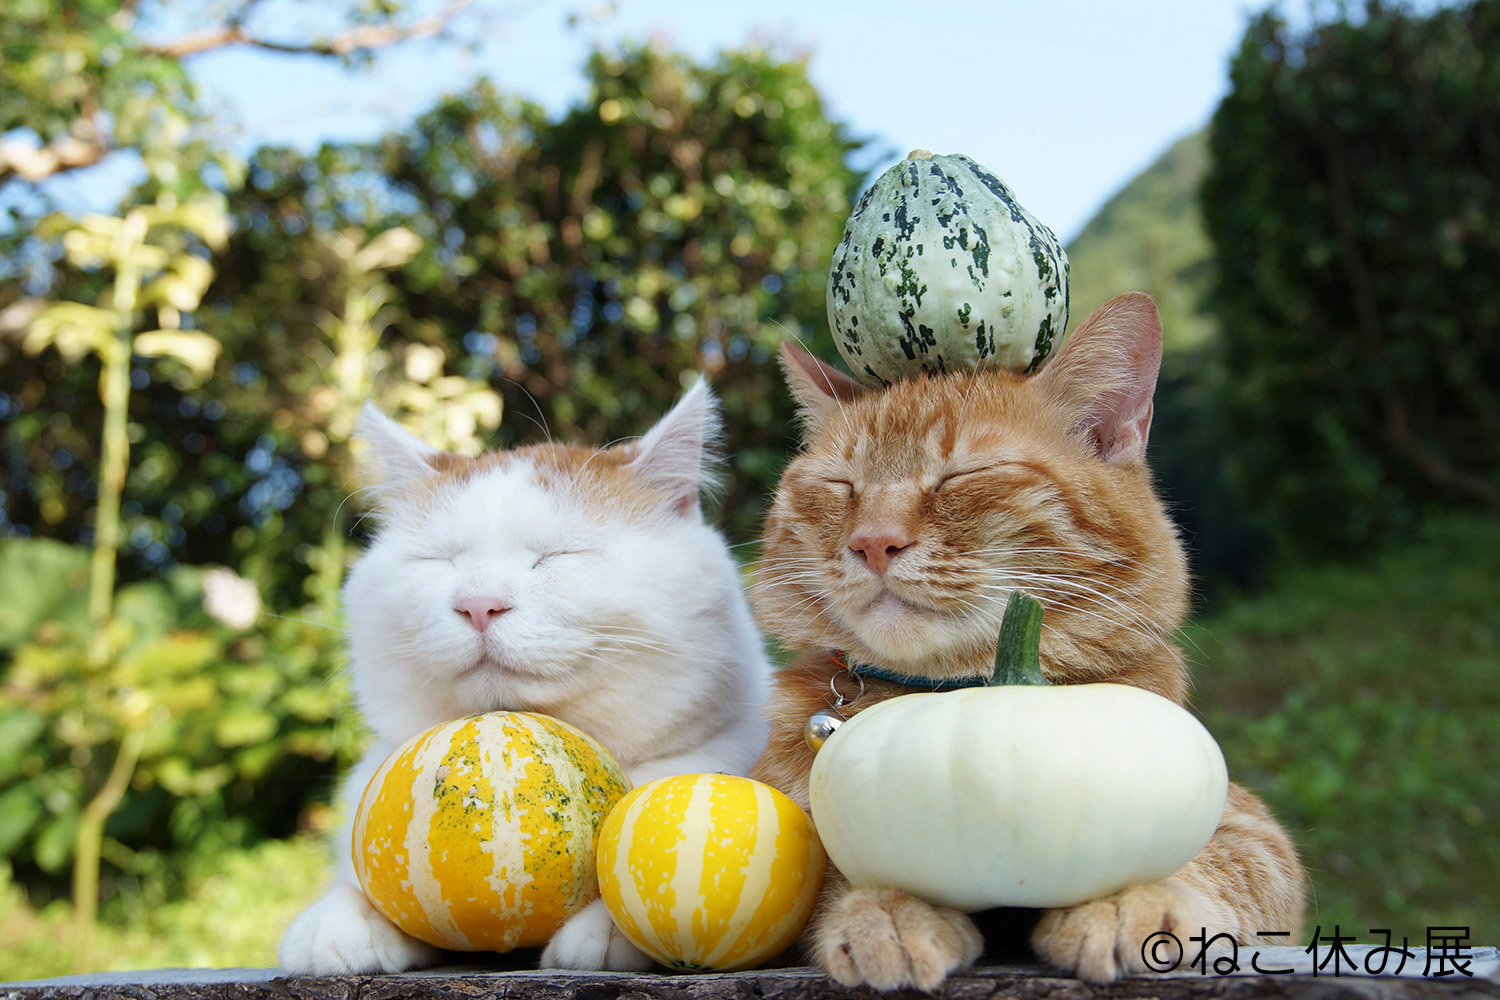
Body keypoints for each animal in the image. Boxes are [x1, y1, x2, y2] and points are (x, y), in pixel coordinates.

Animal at [747, 293, 1302, 989]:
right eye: (841, 485)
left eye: (962, 476)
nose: (873, 541)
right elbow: (825, 878)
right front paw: (886, 911)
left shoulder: (1252, 829)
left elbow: (1216, 864)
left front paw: (1128, 902)